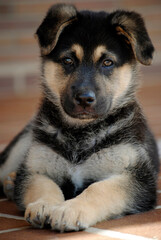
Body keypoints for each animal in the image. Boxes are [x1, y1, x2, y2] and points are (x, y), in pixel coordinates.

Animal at [0, 3, 159, 232]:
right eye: (68, 60)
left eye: (107, 62)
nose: (84, 99)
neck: (80, 133)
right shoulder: (36, 167)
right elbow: (44, 186)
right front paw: (44, 205)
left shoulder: (136, 177)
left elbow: (100, 189)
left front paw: (70, 210)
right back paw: (11, 182)